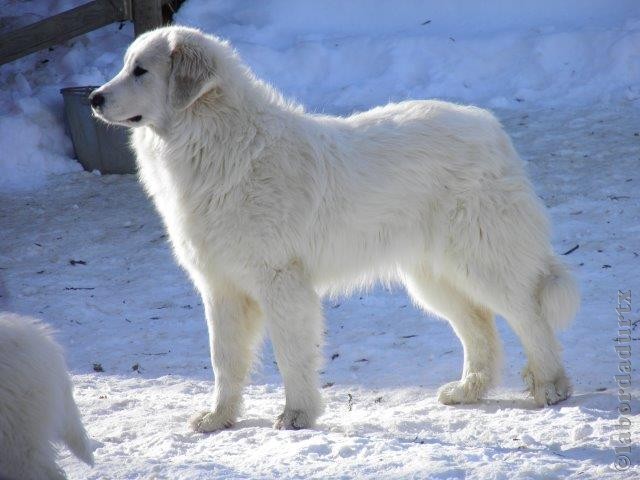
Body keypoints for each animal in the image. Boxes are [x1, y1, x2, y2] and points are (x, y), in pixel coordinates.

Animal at [91, 25, 580, 432]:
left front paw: (297, 415)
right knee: (480, 326)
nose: (94, 98)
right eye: (124, 66)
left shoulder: (280, 282)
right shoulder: (221, 287)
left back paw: (551, 386)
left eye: (140, 71)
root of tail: (491, 129)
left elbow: (290, 354)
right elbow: (224, 360)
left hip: (481, 260)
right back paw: (469, 390)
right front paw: (218, 418)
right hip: (432, 277)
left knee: (528, 313)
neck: (215, 142)